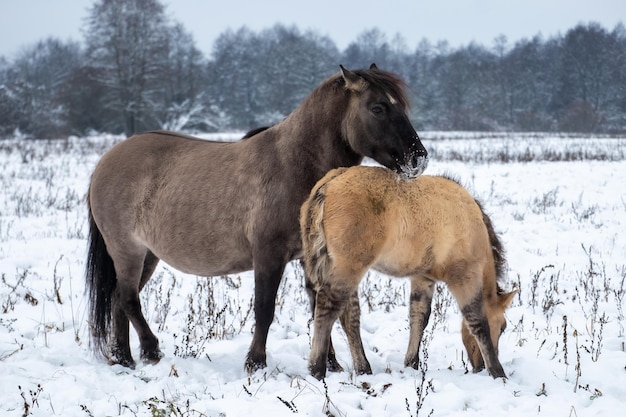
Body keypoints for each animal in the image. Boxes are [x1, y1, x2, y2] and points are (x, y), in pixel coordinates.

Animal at [85, 64, 426, 370]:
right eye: (378, 107)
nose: (418, 159)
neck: (295, 164)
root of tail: (104, 163)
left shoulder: (310, 257)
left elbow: (319, 306)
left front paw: (330, 364)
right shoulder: (268, 254)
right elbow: (264, 308)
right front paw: (255, 362)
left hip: (148, 255)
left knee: (117, 299)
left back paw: (123, 358)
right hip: (127, 250)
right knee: (128, 298)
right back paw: (150, 350)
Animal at [300, 165, 516, 376]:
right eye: (503, 327)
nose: (479, 367)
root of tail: (329, 184)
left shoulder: (423, 278)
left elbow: (419, 316)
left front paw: (412, 362)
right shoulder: (464, 276)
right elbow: (478, 322)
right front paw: (498, 372)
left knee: (349, 316)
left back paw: (362, 368)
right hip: (349, 268)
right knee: (328, 306)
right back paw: (317, 368)